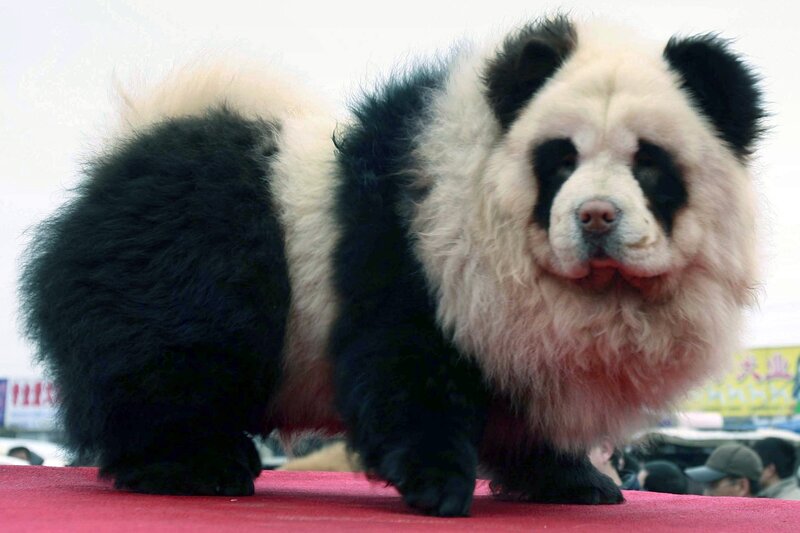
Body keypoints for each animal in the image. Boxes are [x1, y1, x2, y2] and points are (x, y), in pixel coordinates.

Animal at [20, 16, 763, 516]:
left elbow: (533, 403)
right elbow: (407, 364)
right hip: (179, 271)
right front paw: (438, 484)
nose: (597, 217)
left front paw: (574, 481)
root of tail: (125, 152)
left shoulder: (528, 340)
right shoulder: (415, 254)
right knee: (166, 369)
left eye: (648, 163)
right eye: (560, 160)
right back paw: (196, 465)